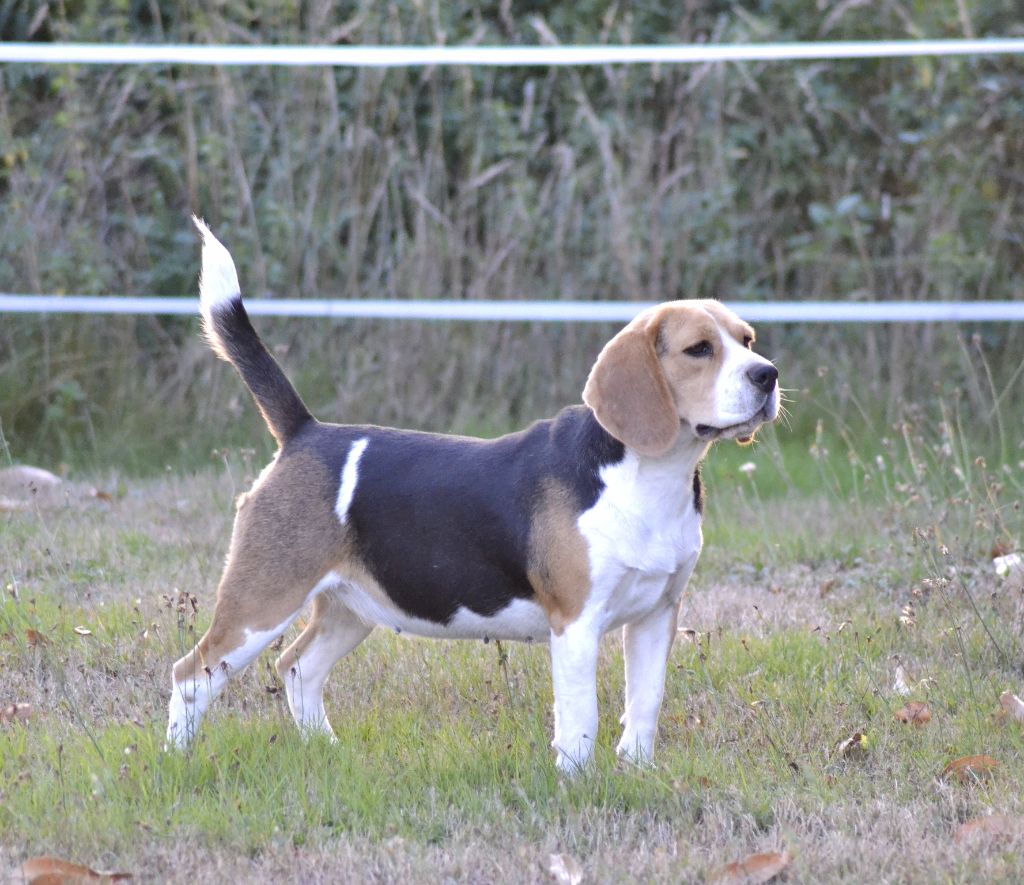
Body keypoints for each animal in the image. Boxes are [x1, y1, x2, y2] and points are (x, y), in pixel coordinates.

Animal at [165, 218, 774, 770]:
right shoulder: (575, 625)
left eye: (746, 341)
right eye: (699, 349)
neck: (649, 476)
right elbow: (582, 719)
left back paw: (327, 750)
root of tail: (305, 431)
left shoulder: (656, 614)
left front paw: (638, 772)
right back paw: (175, 759)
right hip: (261, 601)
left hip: (349, 606)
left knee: (297, 667)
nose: (767, 375)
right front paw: (576, 783)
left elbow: (645, 704)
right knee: (192, 675)